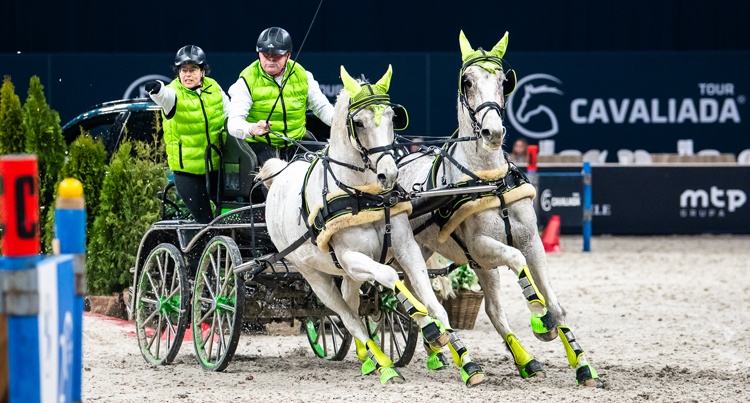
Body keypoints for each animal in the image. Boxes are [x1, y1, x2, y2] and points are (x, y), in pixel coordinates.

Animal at [258, 64, 488, 386]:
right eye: (359, 122)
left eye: (392, 117)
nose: (389, 174)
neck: (364, 197)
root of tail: (280, 173)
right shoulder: (351, 258)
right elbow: (391, 278)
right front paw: (430, 330)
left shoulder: (405, 249)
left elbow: (433, 302)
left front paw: (466, 362)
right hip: (313, 274)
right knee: (348, 316)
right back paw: (384, 365)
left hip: (348, 275)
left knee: (352, 305)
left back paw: (368, 358)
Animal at [400, 32, 604, 388]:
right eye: (467, 82)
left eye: (503, 81)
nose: (492, 132)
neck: (489, 182)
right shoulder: (482, 246)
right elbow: (517, 260)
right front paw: (541, 318)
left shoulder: (531, 242)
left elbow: (554, 301)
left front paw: (582, 365)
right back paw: (462, 360)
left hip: (436, 254)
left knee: (468, 306)